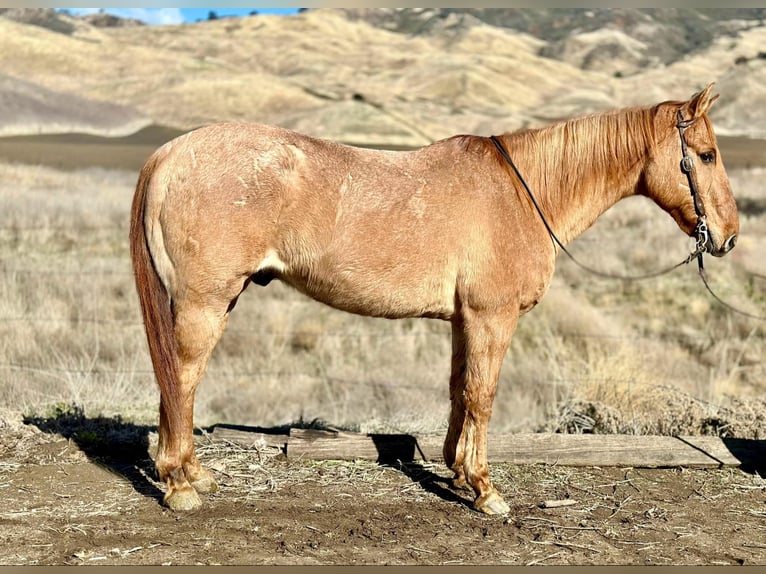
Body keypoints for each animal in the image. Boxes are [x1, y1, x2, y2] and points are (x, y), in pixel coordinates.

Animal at [130, 82, 739, 515]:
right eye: (706, 155)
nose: (729, 236)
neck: (522, 192)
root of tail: (171, 153)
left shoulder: (464, 320)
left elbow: (458, 392)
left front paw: (457, 471)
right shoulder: (493, 319)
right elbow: (483, 396)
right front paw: (486, 491)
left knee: (177, 382)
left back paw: (193, 472)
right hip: (204, 304)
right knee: (181, 378)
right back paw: (180, 485)